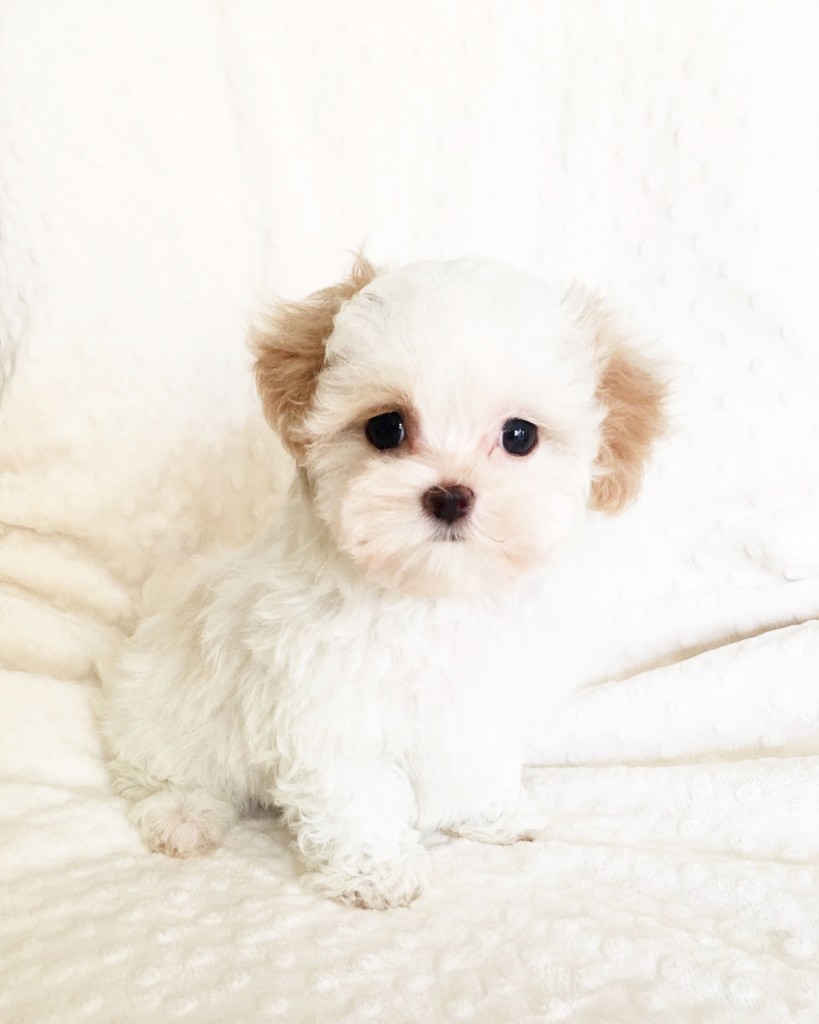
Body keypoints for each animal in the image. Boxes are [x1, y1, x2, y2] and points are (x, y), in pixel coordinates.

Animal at [100, 258, 663, 913]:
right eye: (386, 428)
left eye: (519, 435)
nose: (450, 495)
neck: (434, 598)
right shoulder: (330, 706)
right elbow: (356, 795)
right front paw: (377, 872)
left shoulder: (486, 695)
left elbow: (483, 760)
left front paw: (491, 815)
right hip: (164, 713)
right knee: (156, 769)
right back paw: (182, 814)